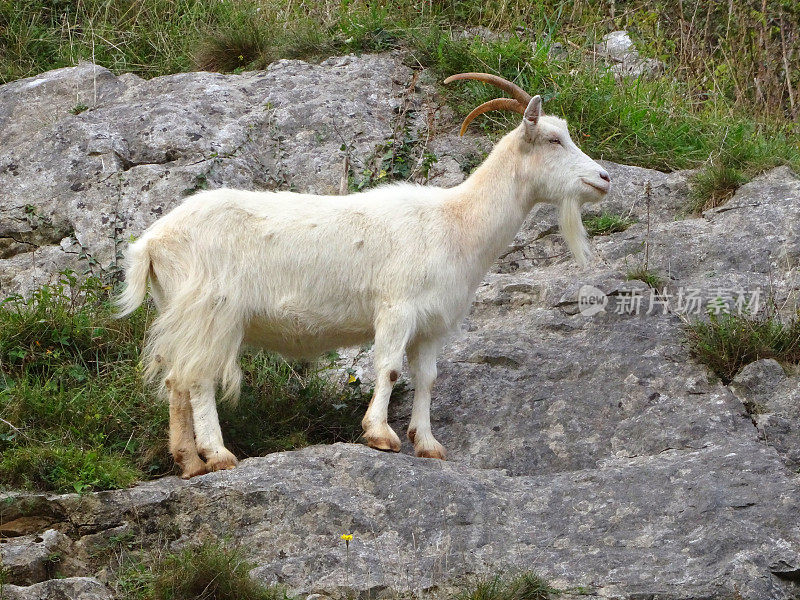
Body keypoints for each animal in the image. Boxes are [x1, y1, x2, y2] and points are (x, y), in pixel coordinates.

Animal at [115, 74, 608, 478]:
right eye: (552, 139)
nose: (604, 178)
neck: (455, 222)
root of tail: (152, 242)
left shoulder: (433, 325)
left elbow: (427, 377)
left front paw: (427, 444)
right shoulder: (396, 308)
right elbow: (388, 368)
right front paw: (380, 435)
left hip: (180, 311)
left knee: (176, 380)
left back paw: (188, 462)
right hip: (211, 310)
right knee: (198, 378)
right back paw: (217, 455)